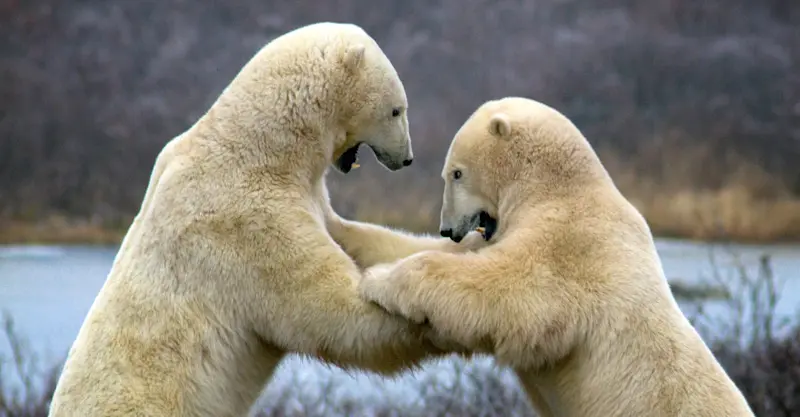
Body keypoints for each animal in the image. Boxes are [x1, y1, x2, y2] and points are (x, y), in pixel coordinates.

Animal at [48, 22, 481, 417]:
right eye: (397, 109)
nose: (406, 158)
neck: (259, 148)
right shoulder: (247, 222)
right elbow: (333, 310)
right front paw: (438, 320)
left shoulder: (305, 198)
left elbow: (359, 239)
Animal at [355, 97, 755, 417]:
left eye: (455, 173)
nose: (446, 228)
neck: (561, 187)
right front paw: (346, 229)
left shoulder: (570, 242)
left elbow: (511, 293)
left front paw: (379, 280)